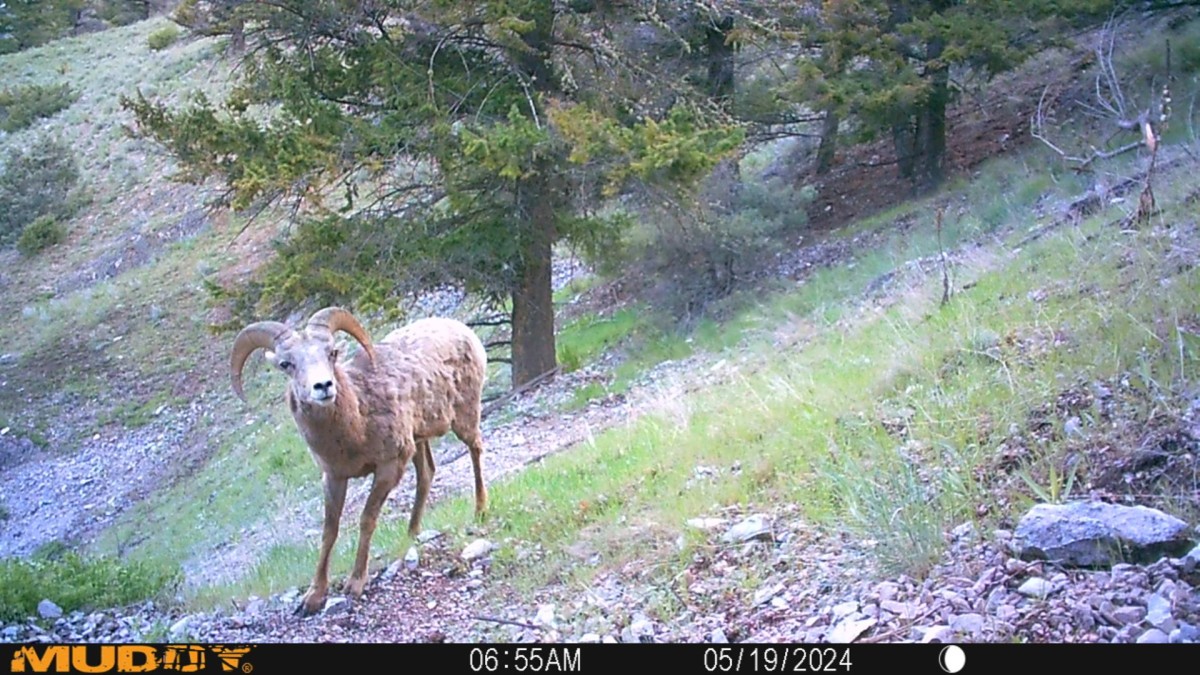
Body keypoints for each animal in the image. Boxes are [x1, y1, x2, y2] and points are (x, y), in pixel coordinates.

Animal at [229, 307, 487, 612]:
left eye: (331, 353)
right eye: (286, 364)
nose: (323, 386)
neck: (357, 423)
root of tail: (463, 330)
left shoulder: (388, 467)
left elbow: (366, 519)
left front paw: (355, 584)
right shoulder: (334, 477)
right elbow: (329, 531)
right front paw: (313, 597)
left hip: (464, 417)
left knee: (475, 450)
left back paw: (480, 510)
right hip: (419, 440)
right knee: (427, 474)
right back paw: (412, 533)